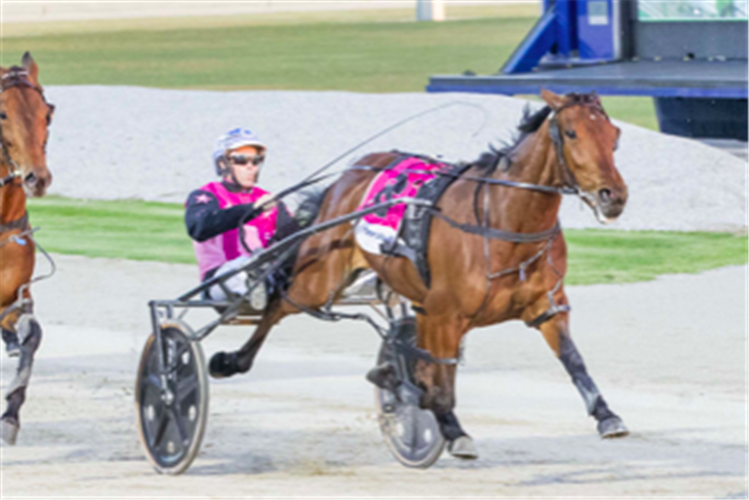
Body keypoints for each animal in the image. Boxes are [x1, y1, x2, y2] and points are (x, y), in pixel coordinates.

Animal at [209, 91, 624, 460]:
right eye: (571, 132)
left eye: (614, 134)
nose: (613, 196)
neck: (502, 224)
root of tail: (354, 171)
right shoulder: (445, 313)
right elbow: (439, 381)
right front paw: (451, 429)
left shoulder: (545, 306)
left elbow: (573, 359)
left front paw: (607, 416)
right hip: (319, 278)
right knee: (278, 304)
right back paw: (232, 360)